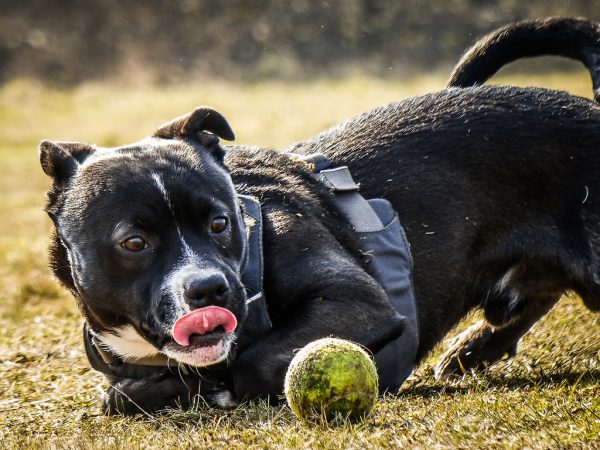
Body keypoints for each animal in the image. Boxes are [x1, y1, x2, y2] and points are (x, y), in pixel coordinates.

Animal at [39, 16, 596, 414]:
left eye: (220, 224)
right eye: (134, 243)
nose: (208, 289)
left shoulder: (356, 301)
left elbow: (254, 360)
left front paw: (214, 385)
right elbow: (120, 395)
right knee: (533, 291)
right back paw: (473, 348)